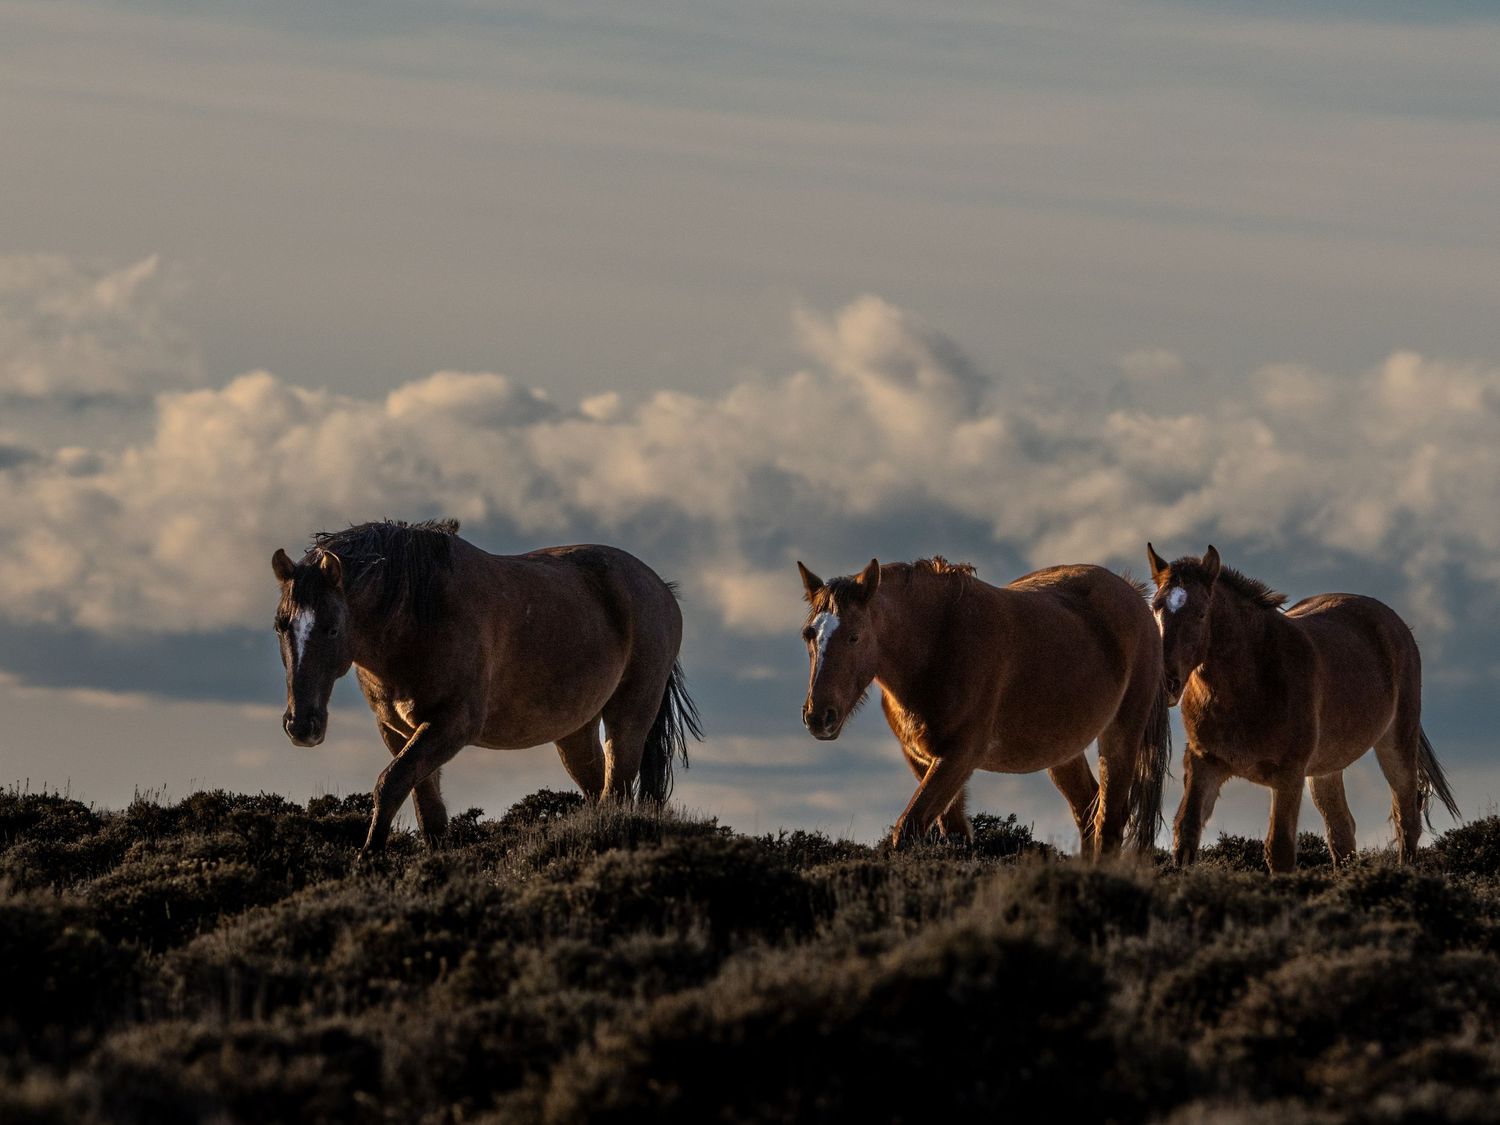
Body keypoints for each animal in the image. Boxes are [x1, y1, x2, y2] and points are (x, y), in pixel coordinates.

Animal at [270, 519, 701, 857]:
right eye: (281, 625)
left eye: (331, 628)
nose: (301, 726)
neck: (419, 616)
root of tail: (662, 589)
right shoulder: (397, 729)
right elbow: (427, 809)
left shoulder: (452, 725)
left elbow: (389, 784)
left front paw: (369, 860)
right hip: (576, 732)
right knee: (600, 793)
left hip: (628, 717)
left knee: (617, 793)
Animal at [796, 556, 1172, 855]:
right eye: (809, 635)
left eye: (854, 636)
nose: (818, 716)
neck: (938, 642)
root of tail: (1134, 596)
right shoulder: (923, 759)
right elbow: (955, 835)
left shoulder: (960, 756)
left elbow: (908, 830)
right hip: (1064, 751)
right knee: (1088, 813)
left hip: (1121, 736)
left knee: (1109, 821)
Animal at [1146, 543, 1461, 872]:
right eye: (1155, 607)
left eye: (1201, 613)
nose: (1167, 681)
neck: (1252, 680)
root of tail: (1395, 623)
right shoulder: (1205, 764)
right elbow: (1186, 834)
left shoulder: (1289, 774)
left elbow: (1280, 850)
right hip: (1326, 769)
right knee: (1342, 832)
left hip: (1396, 744)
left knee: (1406, 817)